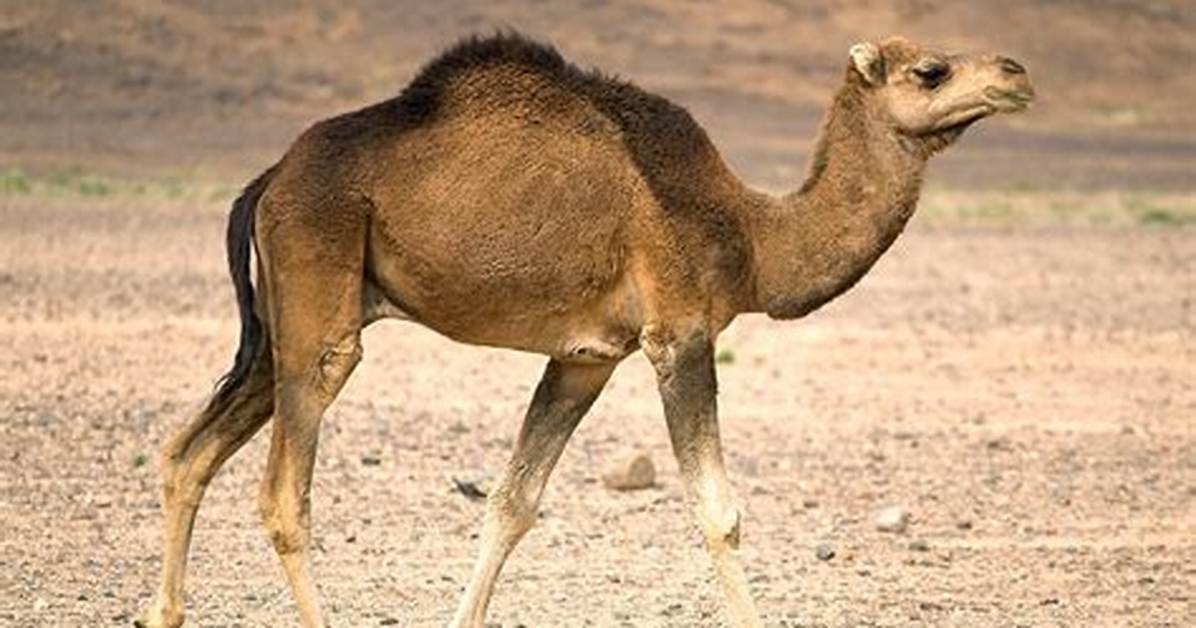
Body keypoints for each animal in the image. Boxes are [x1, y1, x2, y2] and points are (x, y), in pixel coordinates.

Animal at [136, 33, 1033, 628]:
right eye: (931, 70)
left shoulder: (585, 359)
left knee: (188, 451)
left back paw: (164, 609)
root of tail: (270, 177)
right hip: (318, 285)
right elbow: (719, 511)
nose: (1018, 73)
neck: (749, 233)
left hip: (289, 320)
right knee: (283, 495)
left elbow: (513, 502)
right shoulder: (679, 333)